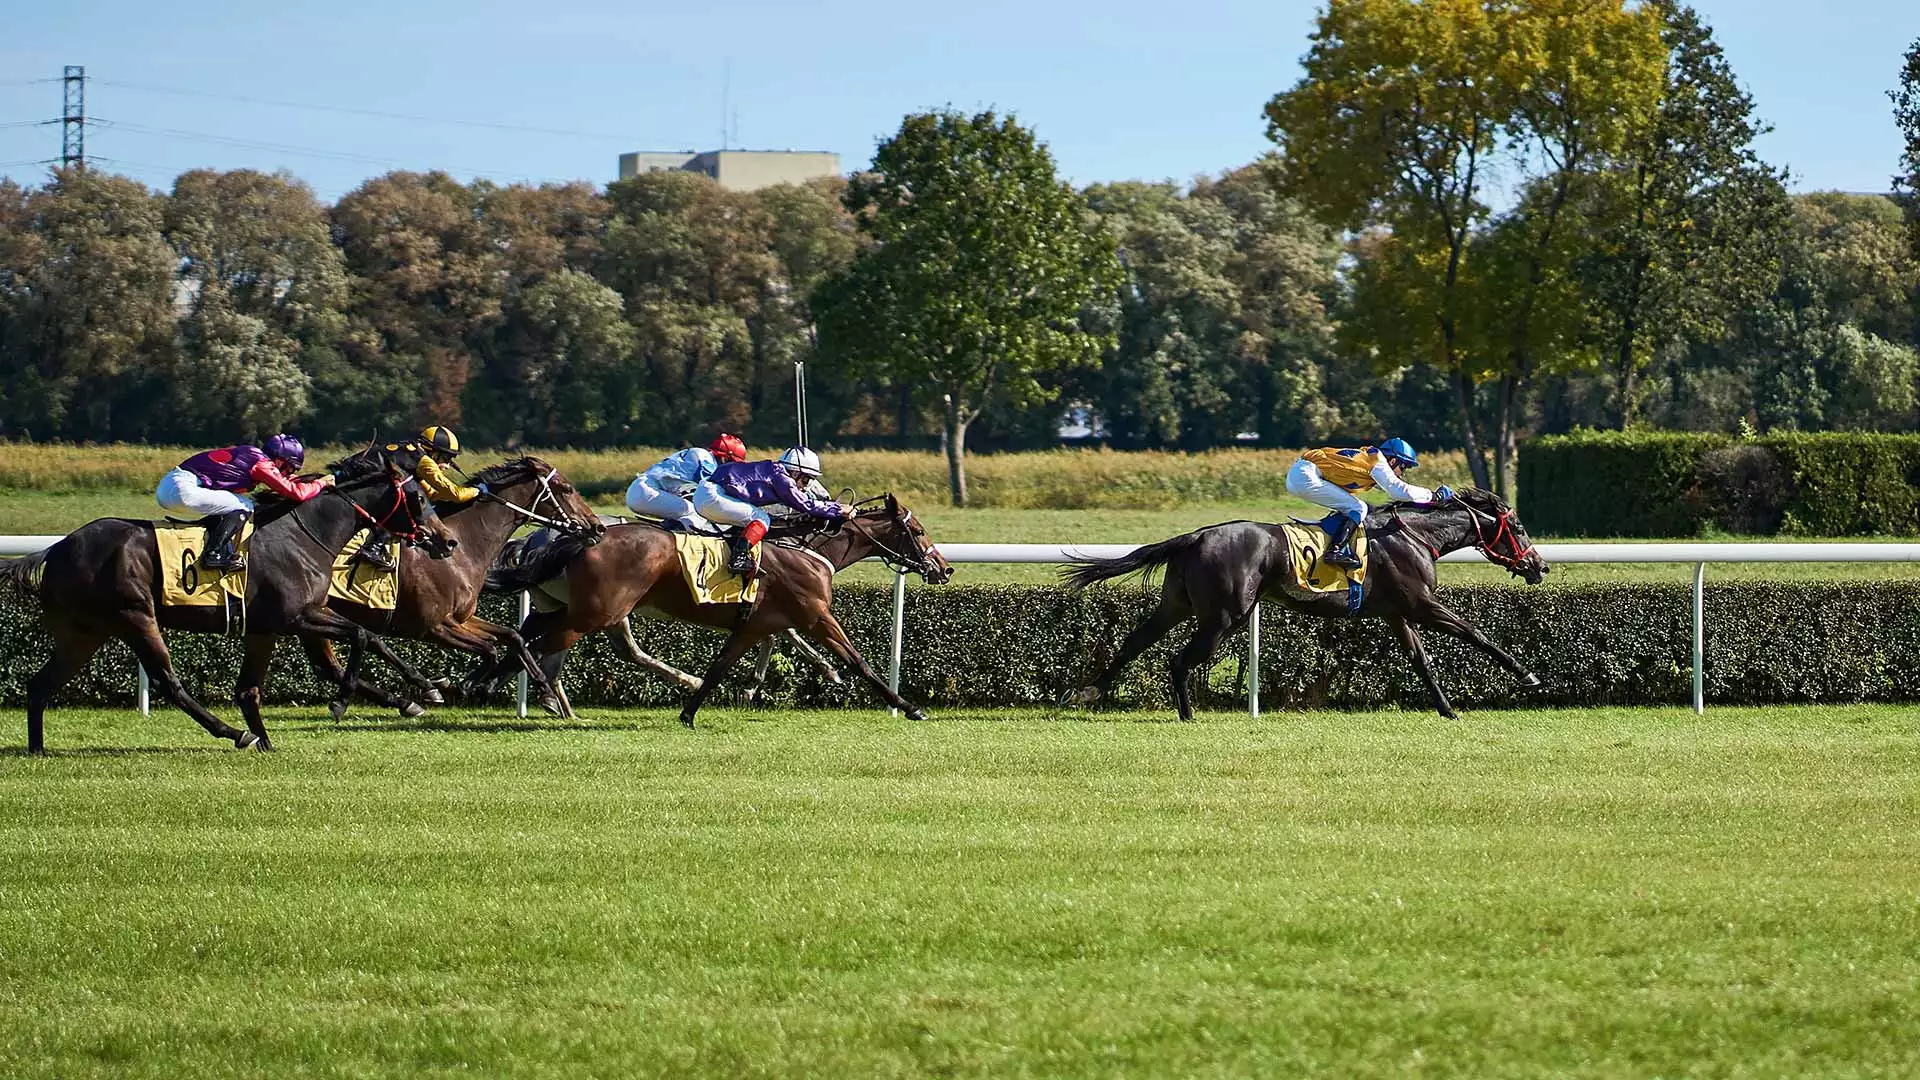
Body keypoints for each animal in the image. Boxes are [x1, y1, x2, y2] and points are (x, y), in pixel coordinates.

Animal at [299, 453, 602, 714]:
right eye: (566, 488)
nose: (597, 526)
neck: (462, 547)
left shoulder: (458, 618)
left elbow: (511, 636)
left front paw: (545, 693)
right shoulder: (432, 627)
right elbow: (490, 647)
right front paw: (460, 686)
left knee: (328, 667)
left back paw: (406, 700)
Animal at [483, 495, 956, 722]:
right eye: (917, 530)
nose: (944, 568)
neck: (805, 547)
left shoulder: (754, 624)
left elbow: (721, 667)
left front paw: (692, 711)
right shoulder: (816, 615)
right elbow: (859, 663)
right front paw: (909, 706)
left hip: (576, 608)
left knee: (533, 640)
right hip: (597, 612)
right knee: (543, 647)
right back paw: (520, 692)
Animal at [1059, 486, 1551, 714]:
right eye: (1519, 528)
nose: (1540, 566)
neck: (1413, 537)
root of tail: (1196, 535)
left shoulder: (1398, 613)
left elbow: (1421, 660)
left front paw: (1447, 709)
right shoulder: (1420, 605)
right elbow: (1476, 633)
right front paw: (1527, 675)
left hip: (1178, 604)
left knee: (1135, 641)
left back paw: (1088, 690)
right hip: (1224, 616)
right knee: (1178, 659)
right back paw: (1186, 714)